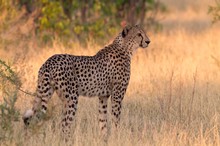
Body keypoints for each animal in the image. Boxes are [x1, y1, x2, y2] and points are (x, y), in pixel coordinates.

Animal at [22, 24, 150, 139]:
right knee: (64, 124)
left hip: (46, 93)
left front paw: (104, 138)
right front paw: (117, 136)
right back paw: (68, 140)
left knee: (32, 119)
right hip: (71, 98)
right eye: (139, 34)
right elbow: (115, 118)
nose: (148, 41)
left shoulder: (103, 96)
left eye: (143, 32)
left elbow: (102, 119)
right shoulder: (117, 95)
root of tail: (49, 61)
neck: (125, 47)